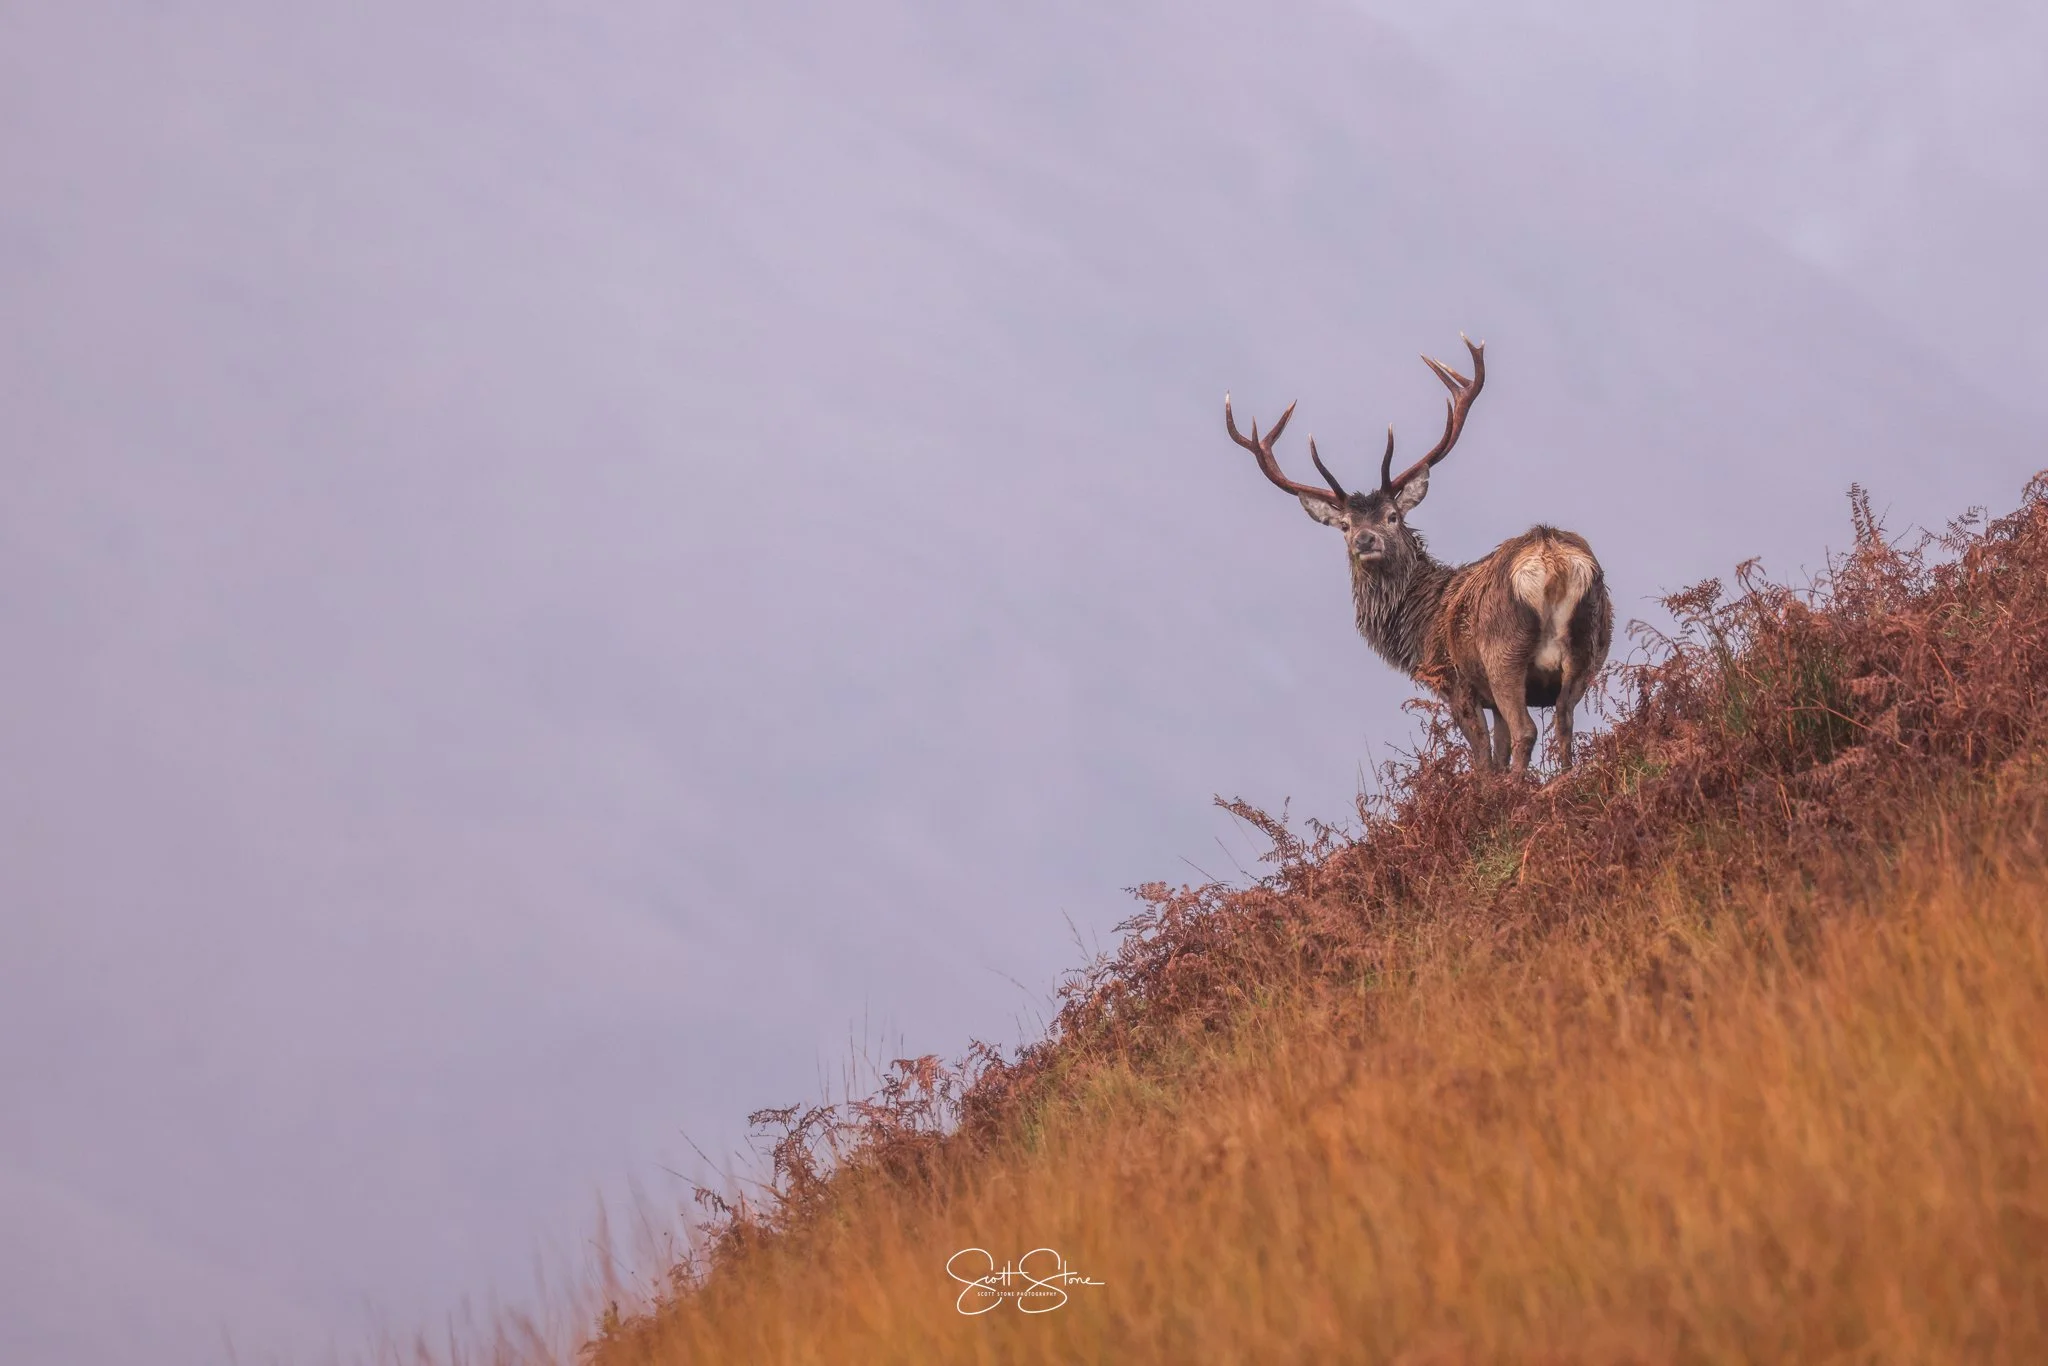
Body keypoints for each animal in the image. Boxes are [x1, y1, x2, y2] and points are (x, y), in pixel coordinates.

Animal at [1223, 336, 1612, 776]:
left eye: (1392, 516)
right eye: (1345, 526)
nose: (1365, 540)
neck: (1419, 623)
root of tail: (1551, 558)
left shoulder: (1454, 682)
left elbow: (1485, 761)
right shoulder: (1488, 696)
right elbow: (1499, 749)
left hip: (1503, 651)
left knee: (1528, 729)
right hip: (1589, 647)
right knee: (1564, 723)